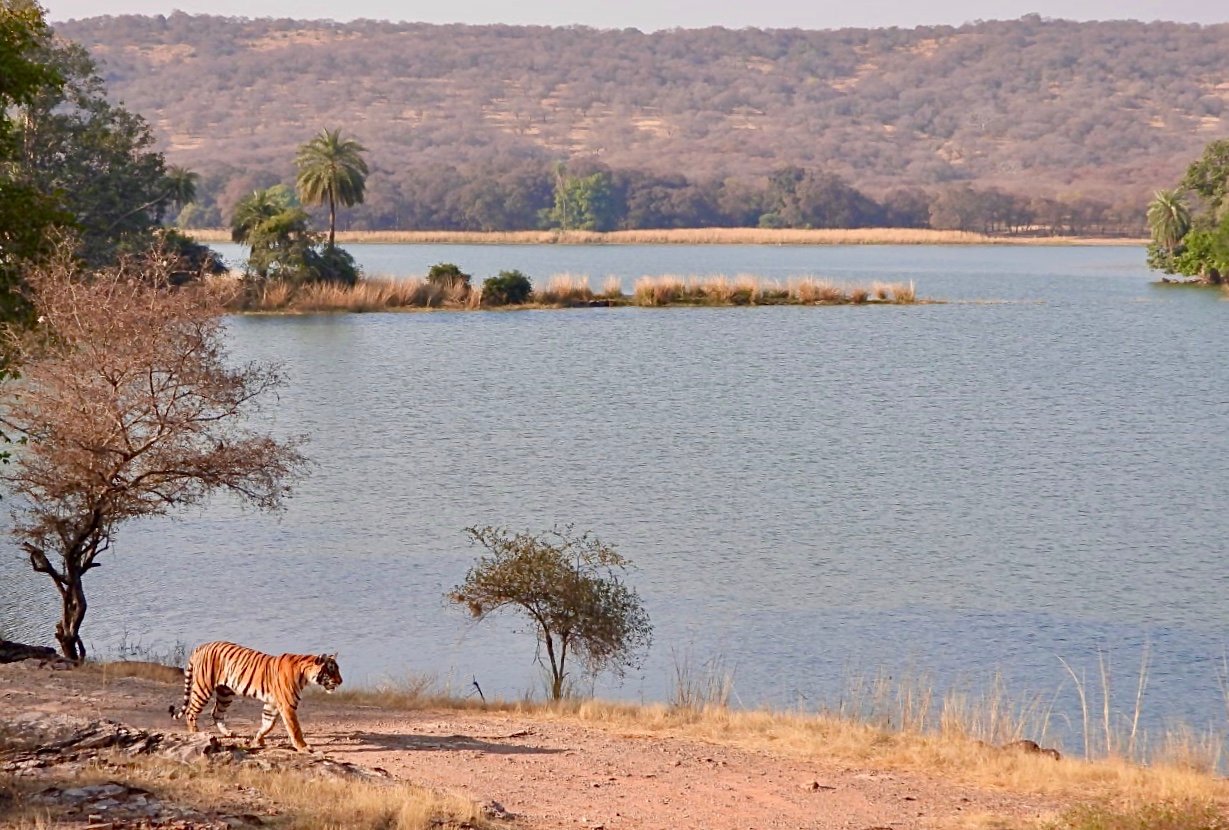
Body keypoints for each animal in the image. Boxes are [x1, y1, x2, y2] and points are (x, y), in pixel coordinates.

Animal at [169, 640, 342, 752]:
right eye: (331, 670)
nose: (341, 681)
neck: (304, 675)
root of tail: (201, 646)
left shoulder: (272, 704)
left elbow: (267, 724)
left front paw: (257, 740)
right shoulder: (287, 705)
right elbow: (295, 729)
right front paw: (304, 747)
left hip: (225, 693)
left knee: (216, 712)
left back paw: (228, 733)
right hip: (203, 688)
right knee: (191, 711)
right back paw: (195, 733)